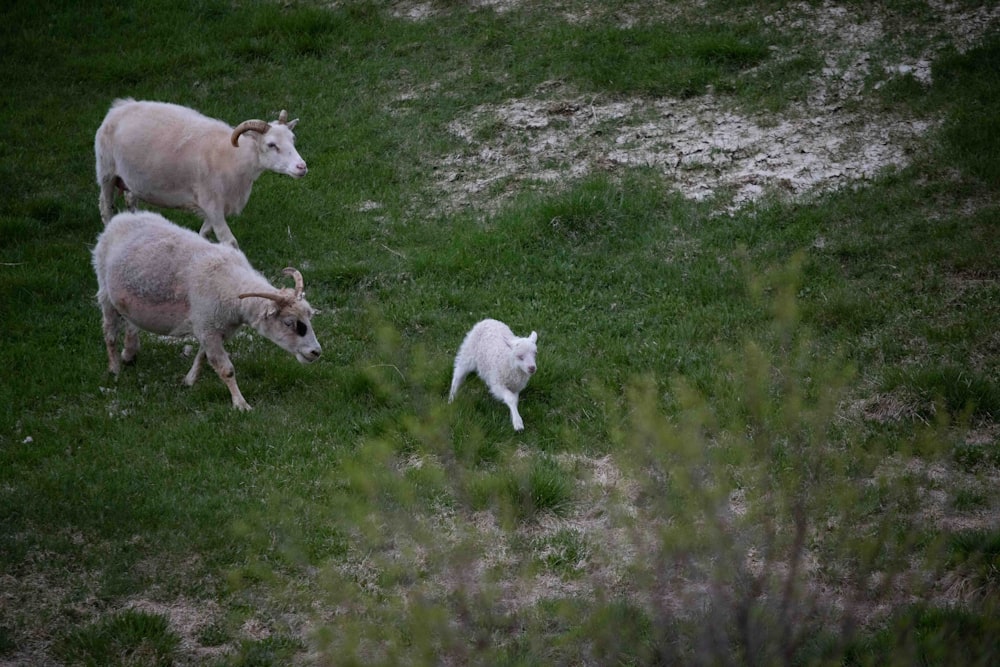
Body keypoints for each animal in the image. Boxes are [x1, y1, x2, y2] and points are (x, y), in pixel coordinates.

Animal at [92, 213, 322, 412]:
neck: (232, 285)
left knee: (130, 323)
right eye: (289, 322)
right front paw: (241, 404)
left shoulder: (213, 327)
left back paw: (129, 353)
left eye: (308, 318)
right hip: (105, 291)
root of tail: (118, 220)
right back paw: (114, 368)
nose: (316, 352)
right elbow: (226, 369)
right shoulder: (207, 326)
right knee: (109, 332)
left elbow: (202, 356)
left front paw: (189, 380)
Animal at [98, 96, 310, 248]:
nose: (302, 167)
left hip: (132, 180)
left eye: (292, 139)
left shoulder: (215, 206)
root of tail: (119, 107)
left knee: (130, 200)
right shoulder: (212, 204)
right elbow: (229, 242)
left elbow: (203, 233)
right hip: (106, 172)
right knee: (106, 207)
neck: (235, 158)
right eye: (271, 145)